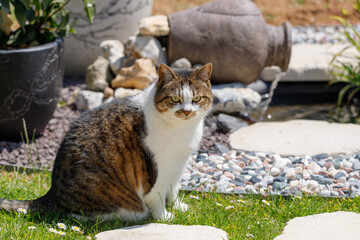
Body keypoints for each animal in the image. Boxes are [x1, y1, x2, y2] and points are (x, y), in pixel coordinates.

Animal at [0, 62, 214, 221]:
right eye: (175, 99)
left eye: (196, 99)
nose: (187, 111)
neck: (183, 130)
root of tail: (52, 193)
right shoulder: (158, 168)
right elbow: (158, 195)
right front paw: (164, 217)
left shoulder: (179, 164)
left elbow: (174, 187)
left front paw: (178, 206)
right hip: (120, 204)